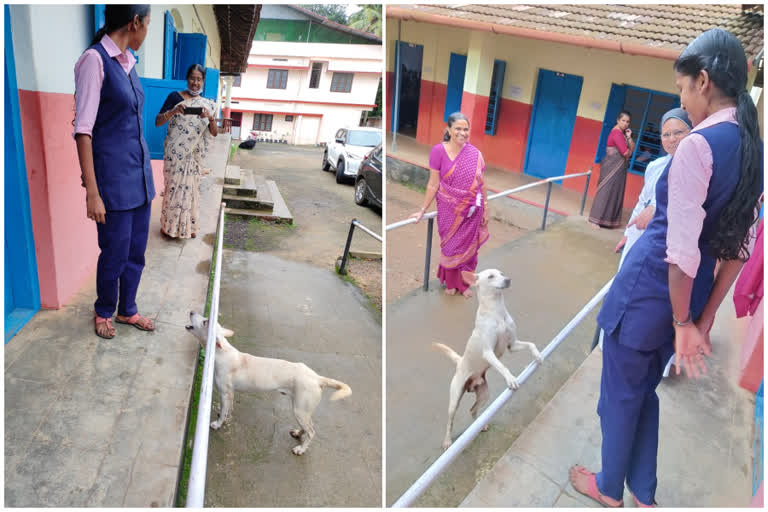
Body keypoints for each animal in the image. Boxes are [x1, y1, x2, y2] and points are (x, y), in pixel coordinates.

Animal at [186, 312, 354, 456]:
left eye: (206, 321)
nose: (191, 311)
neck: (221, 353)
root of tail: (317, 377)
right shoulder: (230, 394)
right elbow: (228, 409)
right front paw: (226, 418)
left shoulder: (224, 393)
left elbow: (223, 410)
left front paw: (218, 424)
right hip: (303, 410)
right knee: (307, 427)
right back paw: (298, 433)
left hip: (300, 410)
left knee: (312, 432)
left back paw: (301, 449)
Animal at [432, 270, 544, 450]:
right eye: (491, 276)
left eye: (502, 273)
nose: (508, 280)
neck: (496, 311)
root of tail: (460, 361)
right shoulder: (488, 353)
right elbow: (503, 367)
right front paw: (511, 379)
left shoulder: (512, 345)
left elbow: (531, 344)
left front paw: (538, 355)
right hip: (454, 400)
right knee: (450, 421)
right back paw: (447, 441)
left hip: (484, 393)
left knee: (472, 410)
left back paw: (480, 425)